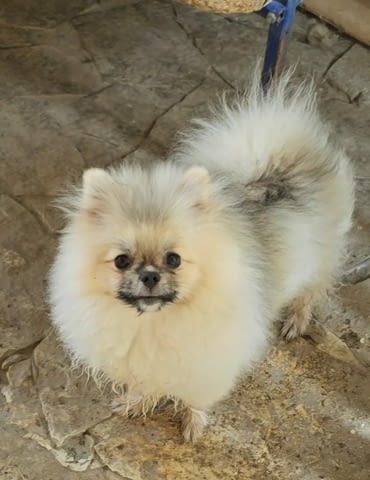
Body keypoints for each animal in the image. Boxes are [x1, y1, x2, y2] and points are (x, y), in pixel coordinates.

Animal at [47, 69, 354, 440]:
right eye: (122, 260)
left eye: (174, 259)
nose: (149, 275)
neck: (154, 322)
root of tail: (278, 163)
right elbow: (148, 385)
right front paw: (137, 403)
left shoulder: (207, 363)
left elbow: (195, 397)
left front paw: (193, 424)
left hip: (323, 256)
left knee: (313, 289)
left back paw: (296, 320)